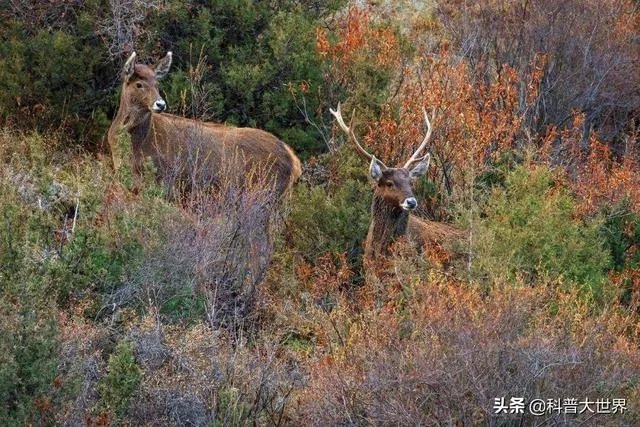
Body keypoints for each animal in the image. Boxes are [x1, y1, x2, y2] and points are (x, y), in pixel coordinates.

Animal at [107, 51, 302, 198]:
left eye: (157, 83)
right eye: (139, 84)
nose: (160, 104)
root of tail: (293, 160)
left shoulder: (164, 177)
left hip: (266, 191)